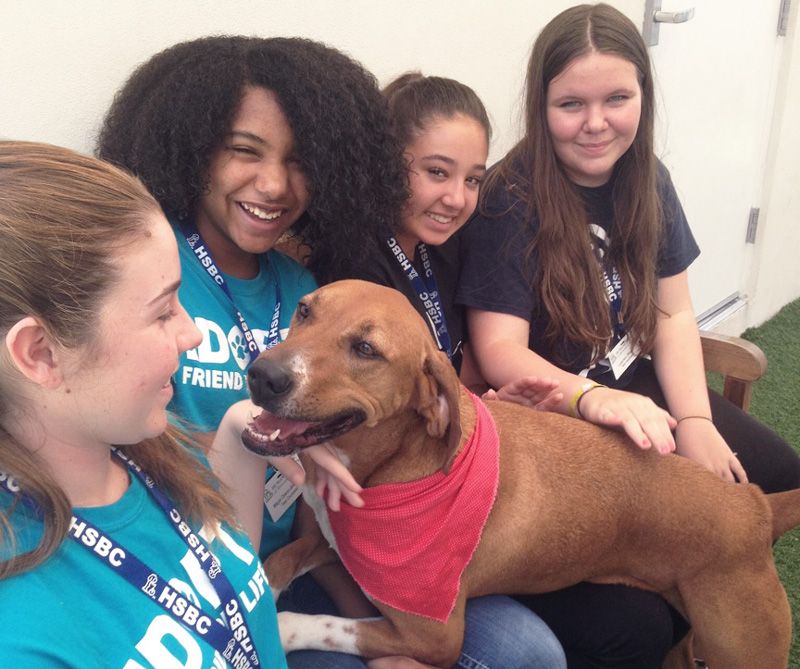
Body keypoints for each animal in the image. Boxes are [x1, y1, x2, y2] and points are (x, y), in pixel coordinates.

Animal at [241, 280, 800, 664]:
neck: (393, 470)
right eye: (305, 310)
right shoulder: (328, 538)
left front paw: (277, 626)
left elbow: (315, 621)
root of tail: (755, 504)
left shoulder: (434, 637)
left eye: (365, 349)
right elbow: (282, 558)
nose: (261, 374)